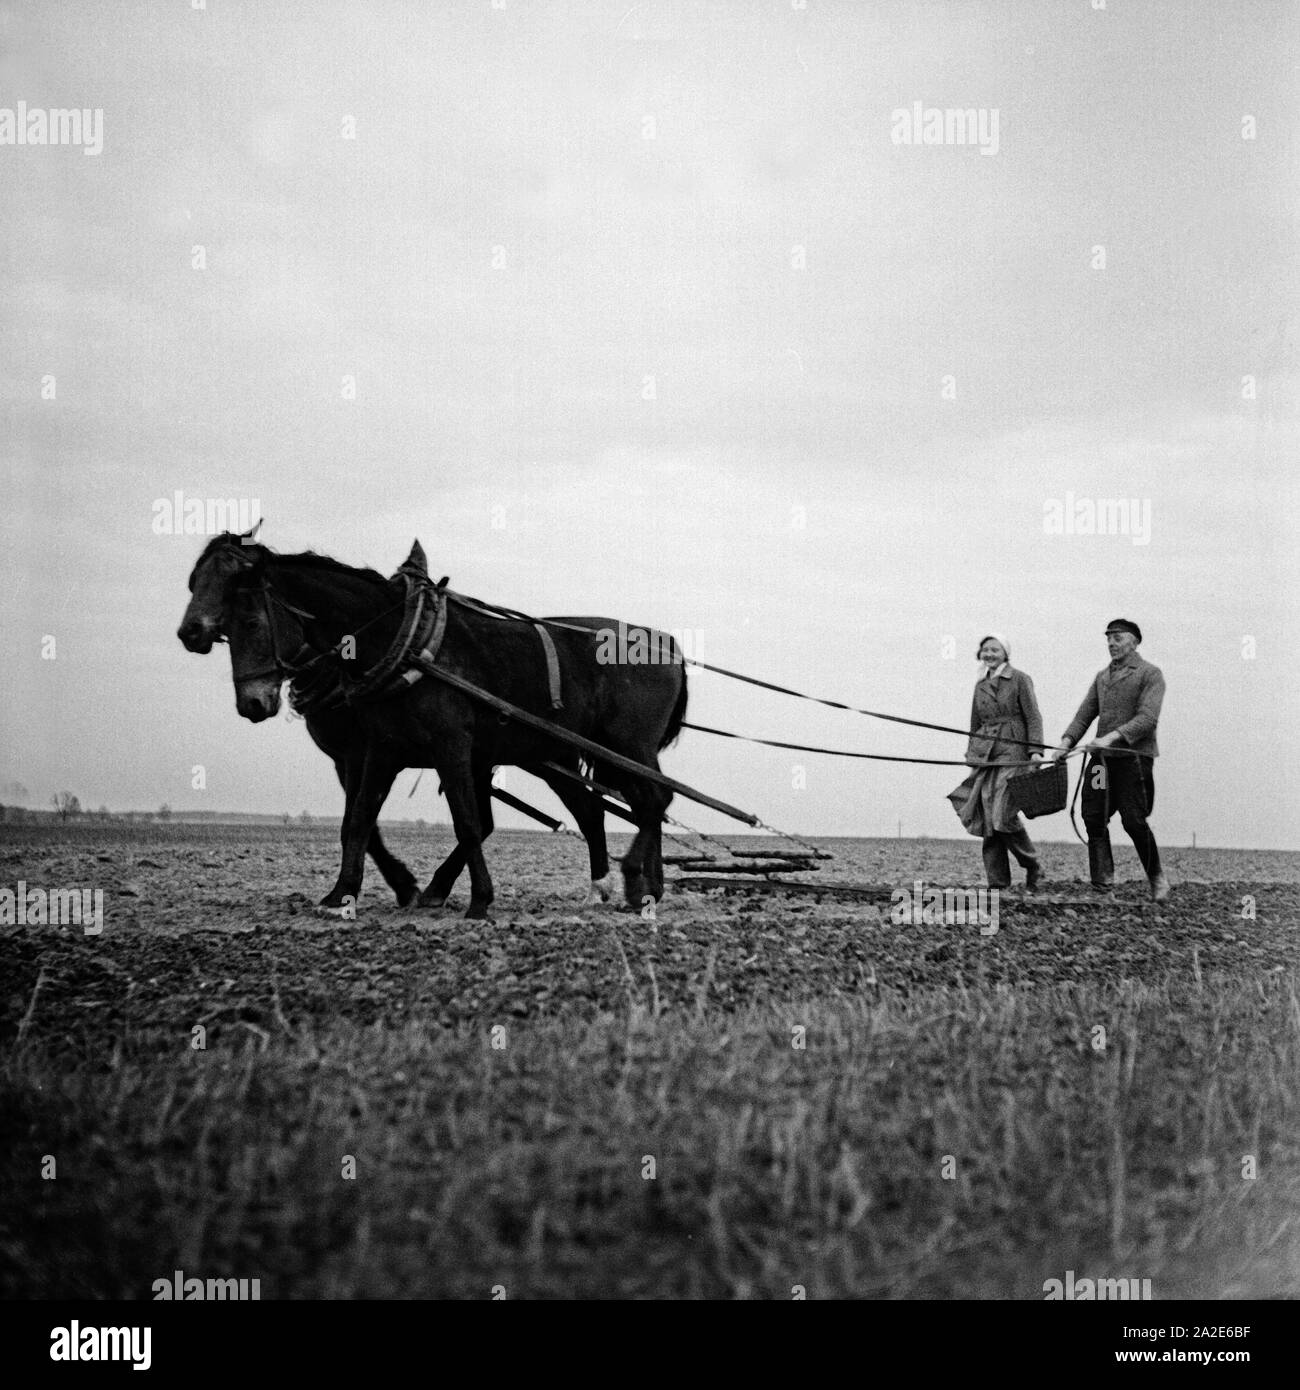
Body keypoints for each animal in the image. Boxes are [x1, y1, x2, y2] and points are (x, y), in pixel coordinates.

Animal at [176, 536, 686, 917]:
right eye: (195, 581)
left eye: (250, 620)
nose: (190, 633)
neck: (398, 642)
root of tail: (668, 645)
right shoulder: (380, 750)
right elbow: (359, 820)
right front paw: (344, 894)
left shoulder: (445, 747)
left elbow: (466, 820)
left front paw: (476, 900)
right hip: (558, 753)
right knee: (600, 809)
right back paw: (614, 887)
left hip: (628, 746)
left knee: (652, 800)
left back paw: (637, 882)